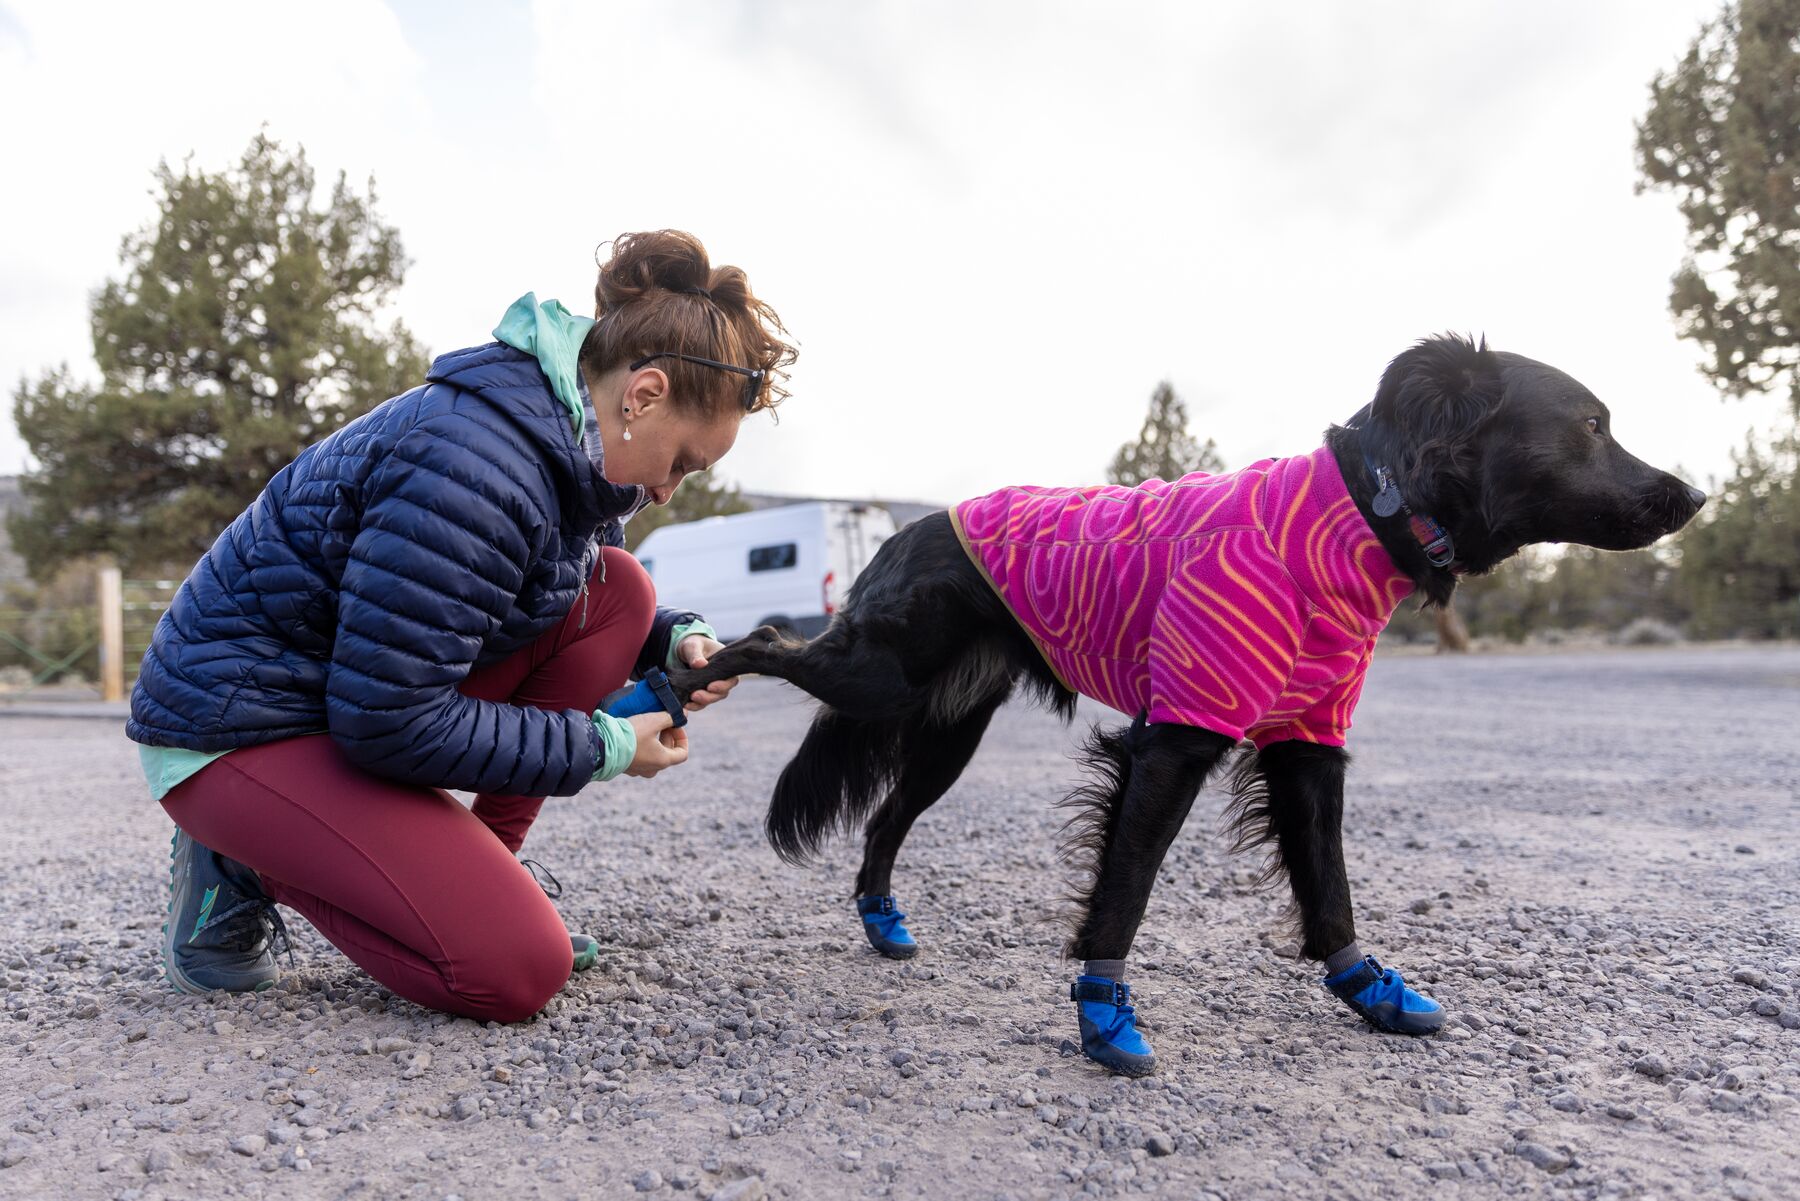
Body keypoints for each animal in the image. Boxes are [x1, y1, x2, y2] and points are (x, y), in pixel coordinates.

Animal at [673, 333, 1699, 1073]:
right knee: (769, 644)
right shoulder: (1176, 736)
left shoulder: (1308, 745)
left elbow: (1329, 887)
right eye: (1593, 423)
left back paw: (883, 920)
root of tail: (901, 527)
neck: (1360, 511)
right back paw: (685, 671)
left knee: (885, 819)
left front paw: (1369, 989)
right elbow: (1125, 890)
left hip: (947, 733)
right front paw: (1103, 1017)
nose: (1694, 494)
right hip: (879, 674)